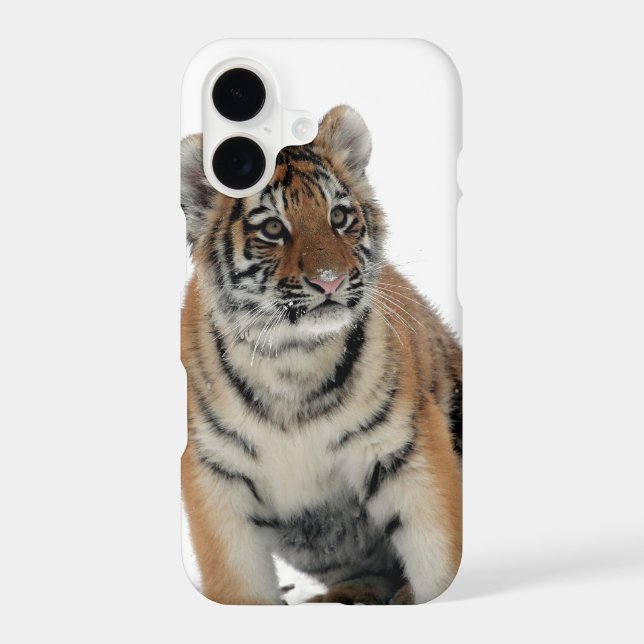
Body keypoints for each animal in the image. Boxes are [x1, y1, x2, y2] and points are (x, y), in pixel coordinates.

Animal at [180, 105, 462, 605]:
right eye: (273, 228)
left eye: (340, 216)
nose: (330, 280)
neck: (291, 358)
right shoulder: (216, 475)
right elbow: (238, 584)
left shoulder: (407, 451)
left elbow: (438, 561)